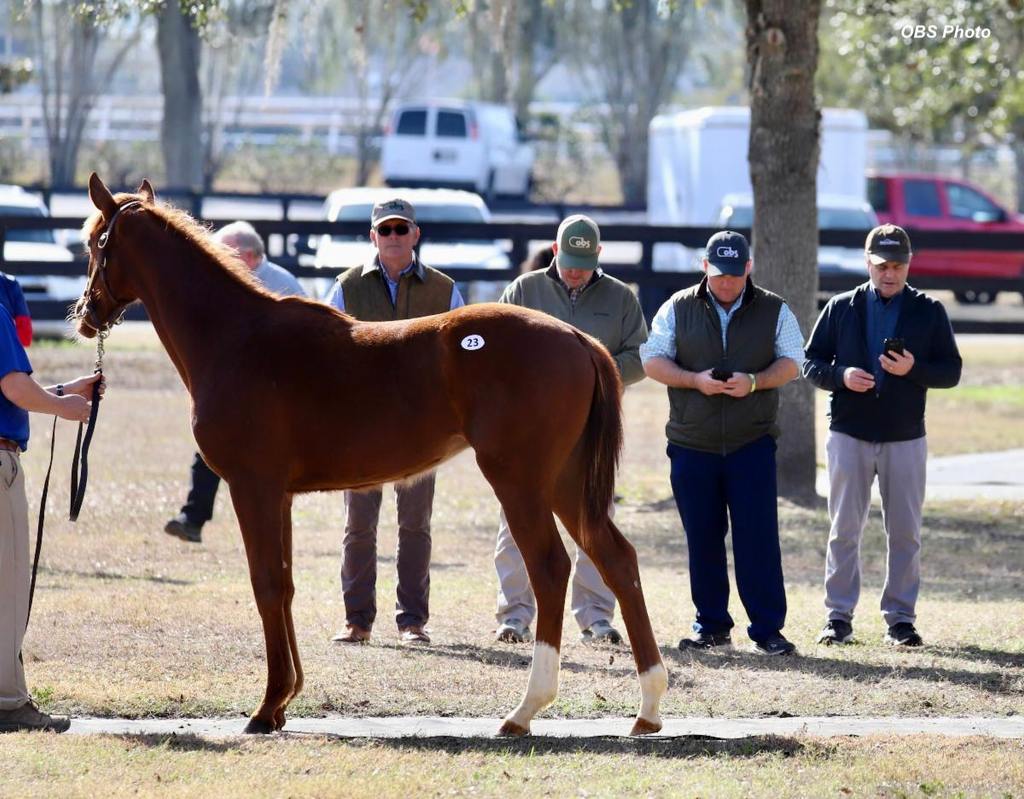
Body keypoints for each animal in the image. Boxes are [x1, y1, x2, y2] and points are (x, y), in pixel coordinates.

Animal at [75, 175, 667, 737]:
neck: (236, 337)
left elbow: (267, 585)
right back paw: (648, 709)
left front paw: (267, 708)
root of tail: (577, 337)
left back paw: (524, 711)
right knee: (617, 560)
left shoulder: (252, 487)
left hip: (520, 481)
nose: (83, 313)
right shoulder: (279, 496)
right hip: (566, 484)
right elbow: (285, 586)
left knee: (549, 567)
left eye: (95, 241)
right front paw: (286, 700)